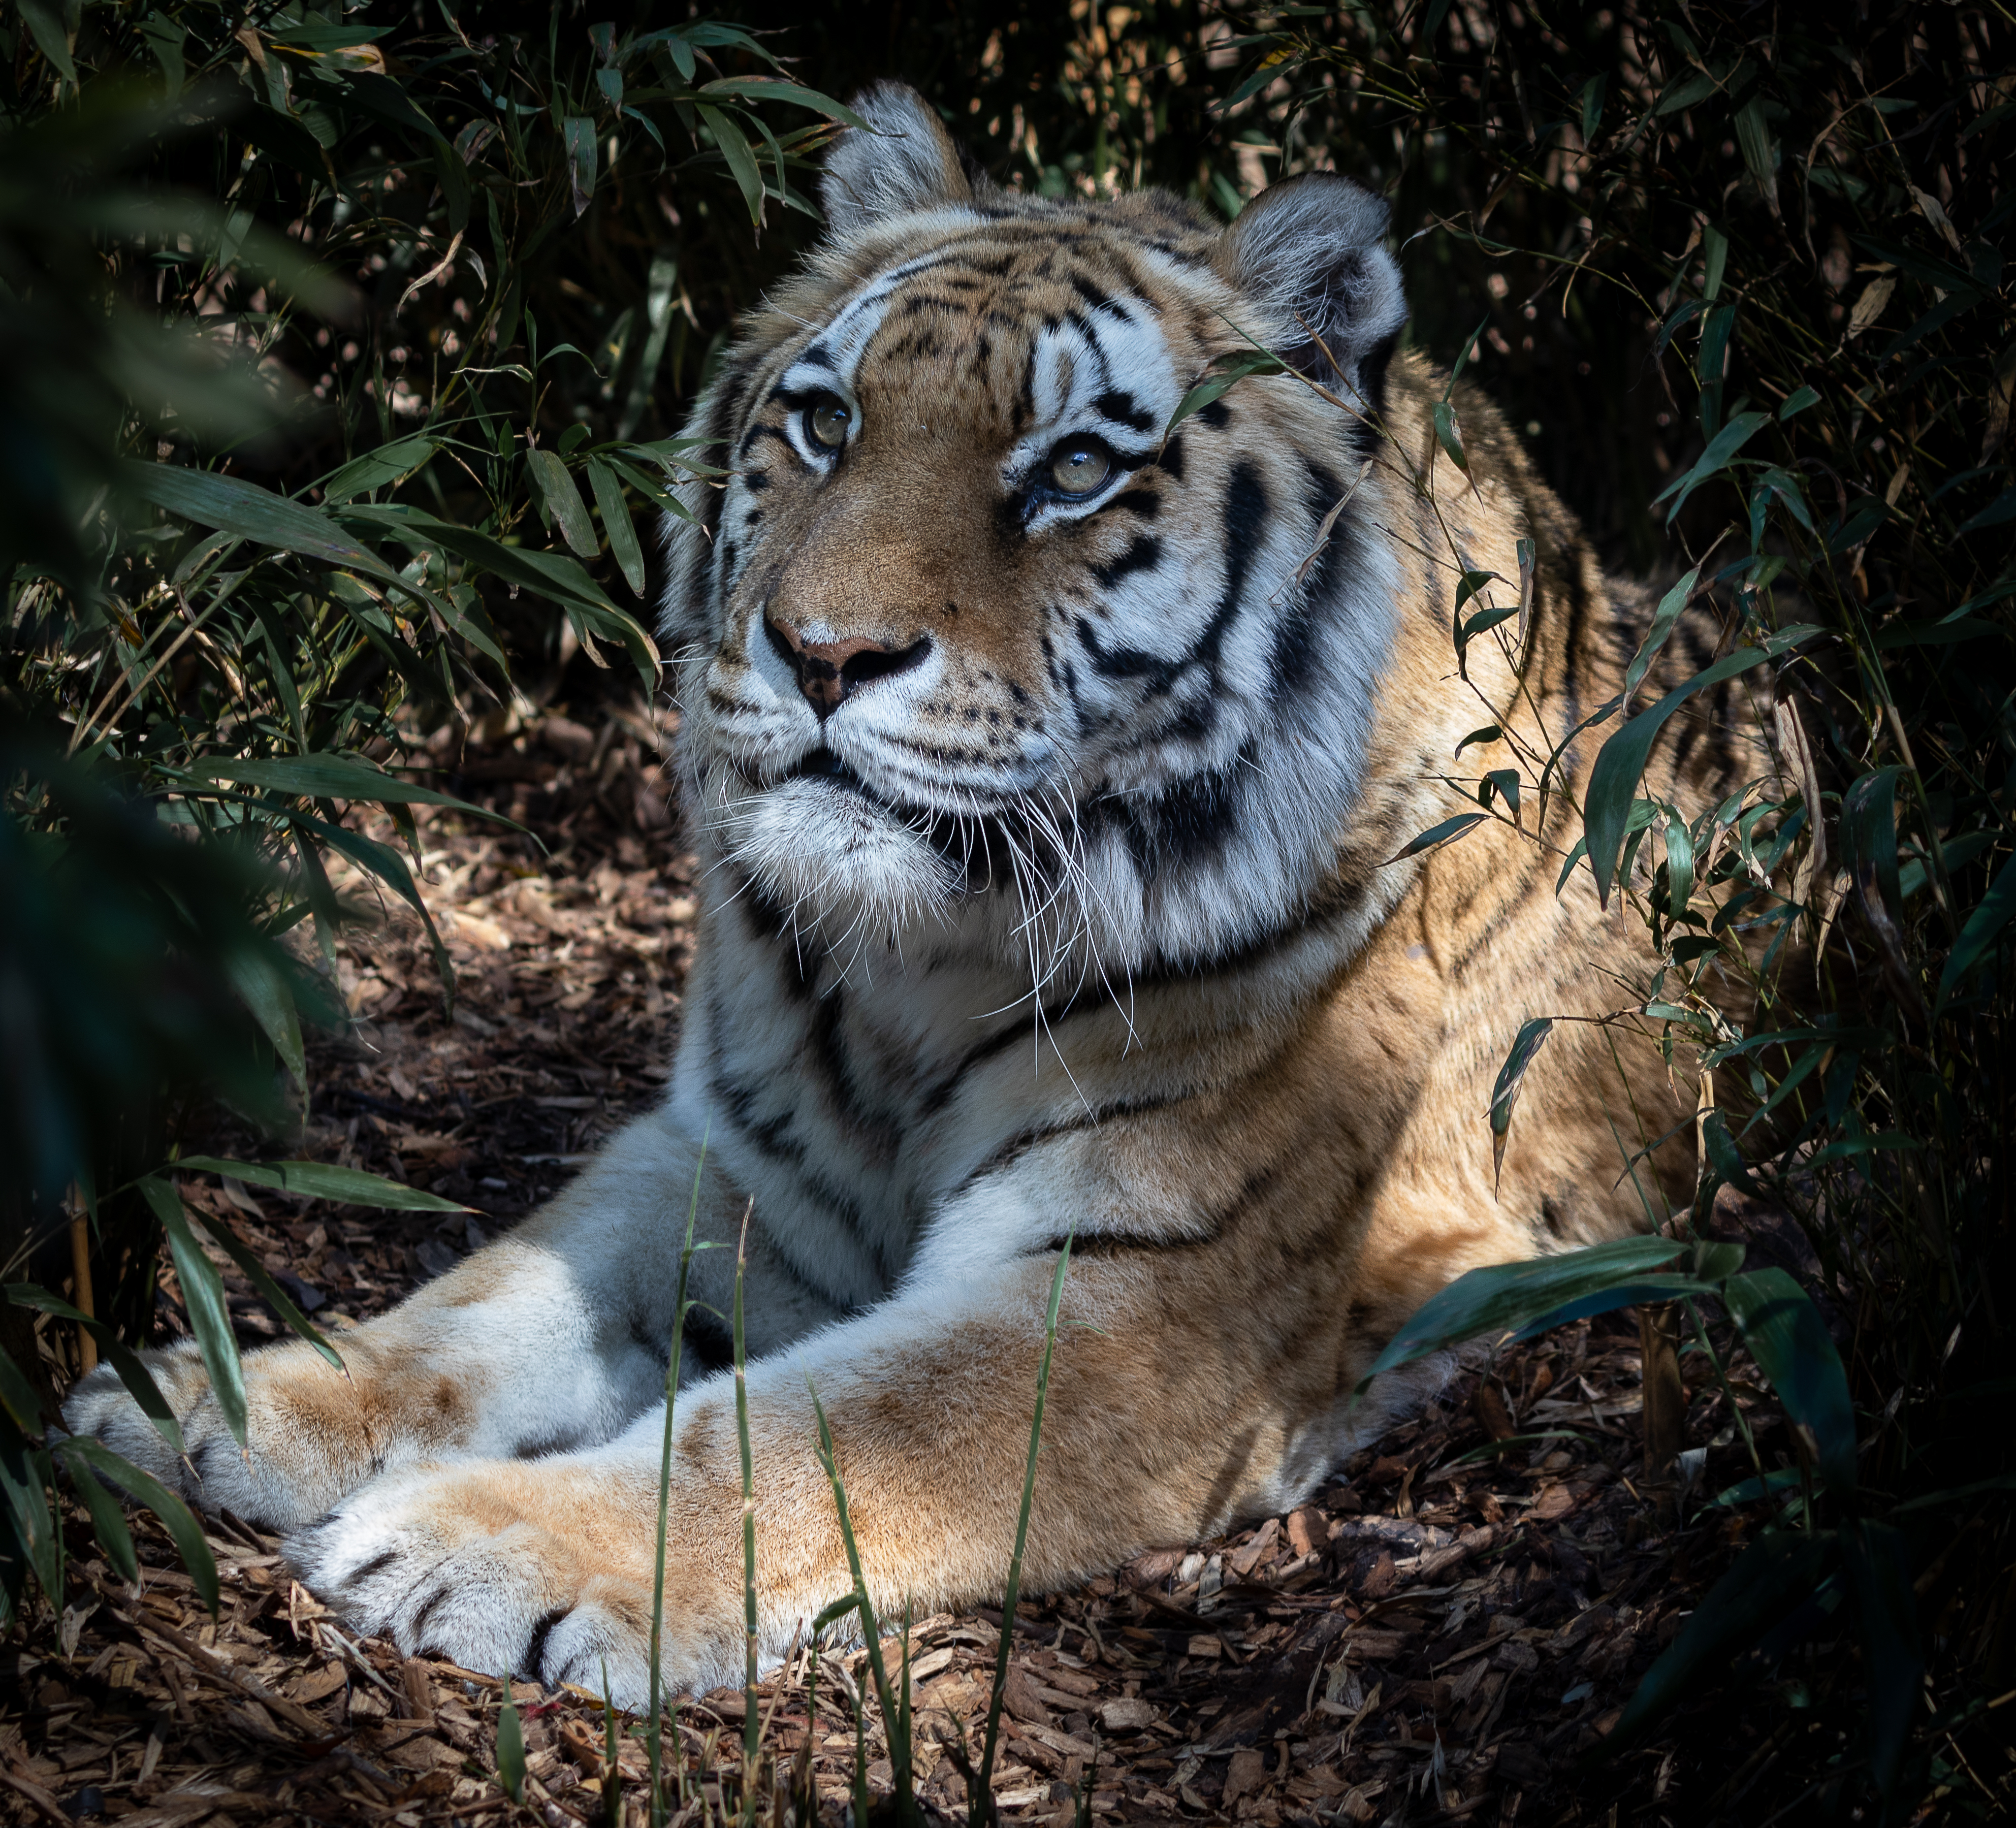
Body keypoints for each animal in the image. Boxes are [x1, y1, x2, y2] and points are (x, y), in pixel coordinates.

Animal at [71, 85, 1742, 1717]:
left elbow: (810, 1427)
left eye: (1075, 468)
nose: (823, 653)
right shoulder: (739, 1164)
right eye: (828, 423)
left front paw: (477, 1544)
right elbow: (490, 1297)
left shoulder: (1156, 1299)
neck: (923, 961)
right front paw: (218, 1396)